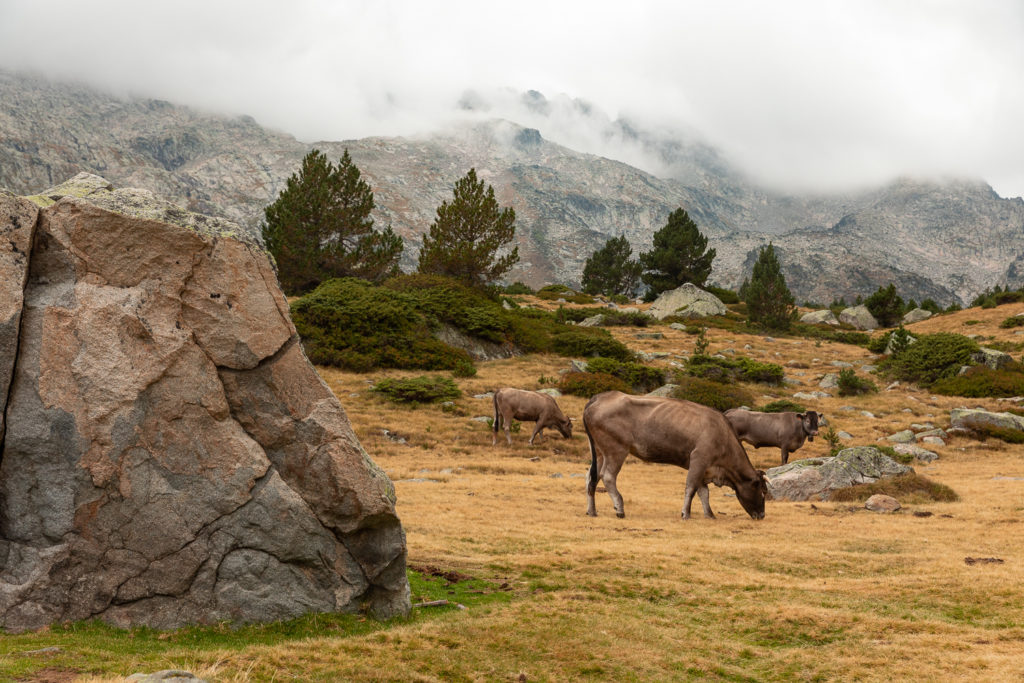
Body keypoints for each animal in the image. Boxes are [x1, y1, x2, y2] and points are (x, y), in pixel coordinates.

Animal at [585, 393, 770, 520]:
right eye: (762, 492)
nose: (762, 515)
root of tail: (601, 397)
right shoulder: (699, 459)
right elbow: (691, 488)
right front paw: (685, 514)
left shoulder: (704, 468)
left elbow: (704, 492)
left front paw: (709, 514)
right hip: (616, 449)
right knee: (607, 476)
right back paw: (620, 509)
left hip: (599, 451)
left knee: (591, 477)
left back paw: (592, 511)